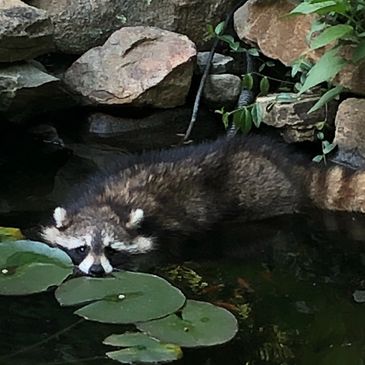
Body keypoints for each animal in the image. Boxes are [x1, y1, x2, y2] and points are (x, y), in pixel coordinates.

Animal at [39, 135, 364, 274]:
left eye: (111, 249)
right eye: (81, 248)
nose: (96, 271)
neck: (106, 203)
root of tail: (287, 167)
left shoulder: (166, 230)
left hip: (261, 196)